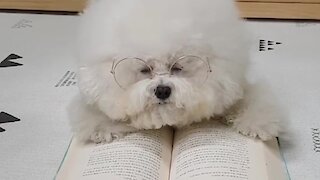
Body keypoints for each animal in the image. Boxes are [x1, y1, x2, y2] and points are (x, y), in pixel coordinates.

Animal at [69, 0, 282, 143]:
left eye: (177, 67)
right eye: (144, 69)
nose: (162, 90)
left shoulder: (230, 83)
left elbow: (250, 99)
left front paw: (258, 122)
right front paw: (101, 128)